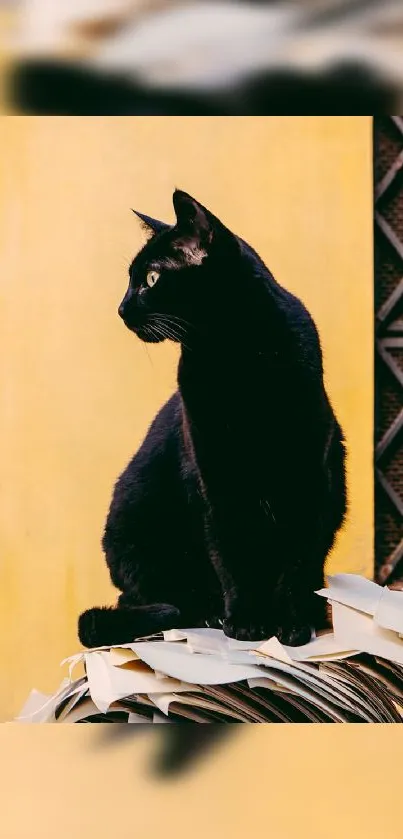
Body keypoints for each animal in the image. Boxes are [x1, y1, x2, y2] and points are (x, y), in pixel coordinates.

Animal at [79, 190, 348, 648]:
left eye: (151, 279)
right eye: (131, 279)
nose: (120, 308)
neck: (234, 353)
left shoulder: (308, 470)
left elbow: (295, 558)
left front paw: (291, 624)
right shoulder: (215, 473)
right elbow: (231, 550)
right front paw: (245, 623)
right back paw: (207, 613)